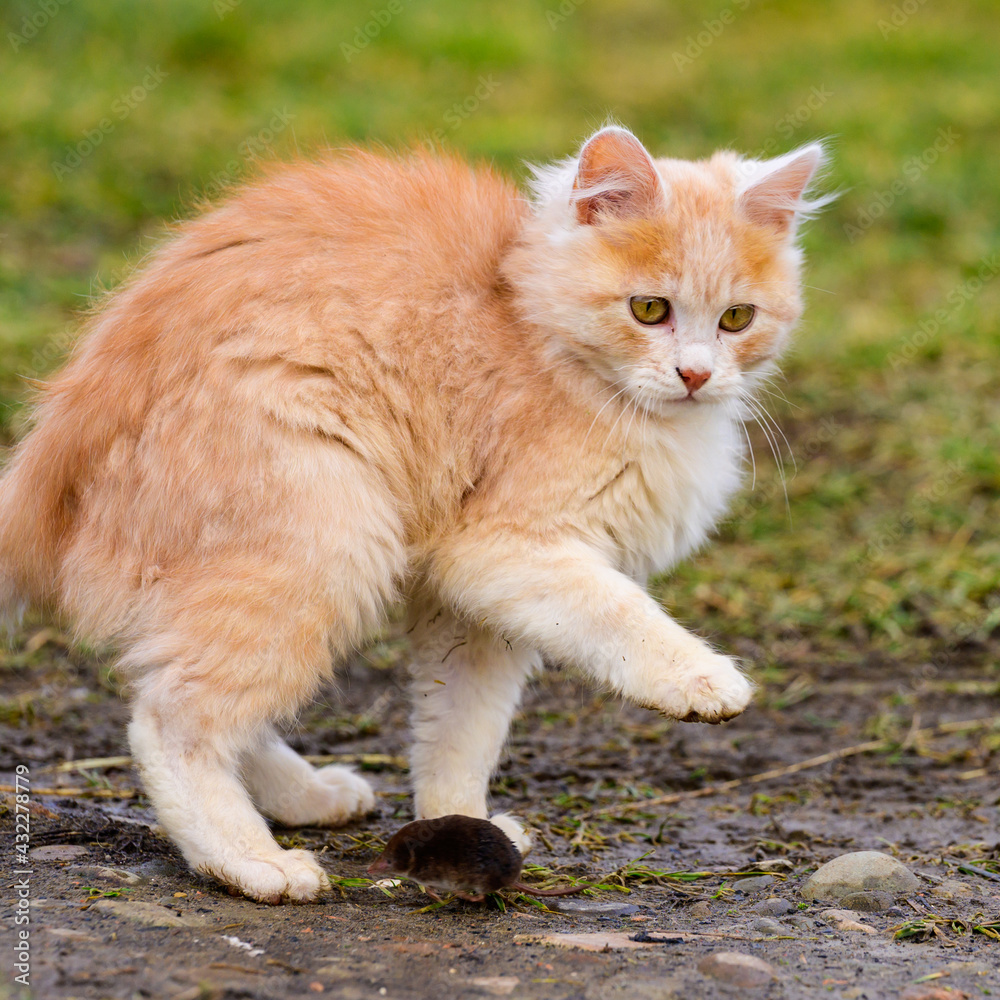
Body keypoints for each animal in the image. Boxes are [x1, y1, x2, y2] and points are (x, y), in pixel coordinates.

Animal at [0, 127, 828, 908]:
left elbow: (463, 731)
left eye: (736, 319)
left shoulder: (476, 609)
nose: (695, 374)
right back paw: (250, 861)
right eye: (649, 309)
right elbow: (618, 612)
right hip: (326, 533)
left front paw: (462, 822)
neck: (529, 326)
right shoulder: (500, 550)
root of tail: (51, 453)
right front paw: (701, 678)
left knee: (189, 687)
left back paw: (304, 797)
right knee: (171, 716)